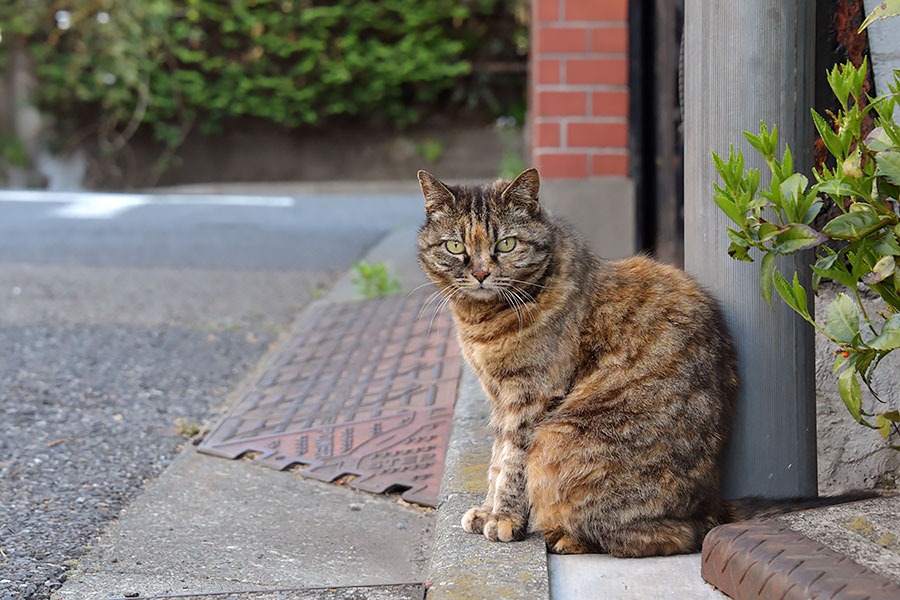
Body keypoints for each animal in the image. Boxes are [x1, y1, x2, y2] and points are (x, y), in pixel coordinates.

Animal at [416, 165, 744, 556]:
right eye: (455, 246)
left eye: (507, 244)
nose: (480, 273)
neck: (481, 321)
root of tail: (712, 508)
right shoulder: (500, 399)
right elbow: (496, 461)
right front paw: (487, 510)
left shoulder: (531, 397)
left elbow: (512, 464)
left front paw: (505, 518)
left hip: (555, 440)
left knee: (662, 537)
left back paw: (562, 536)